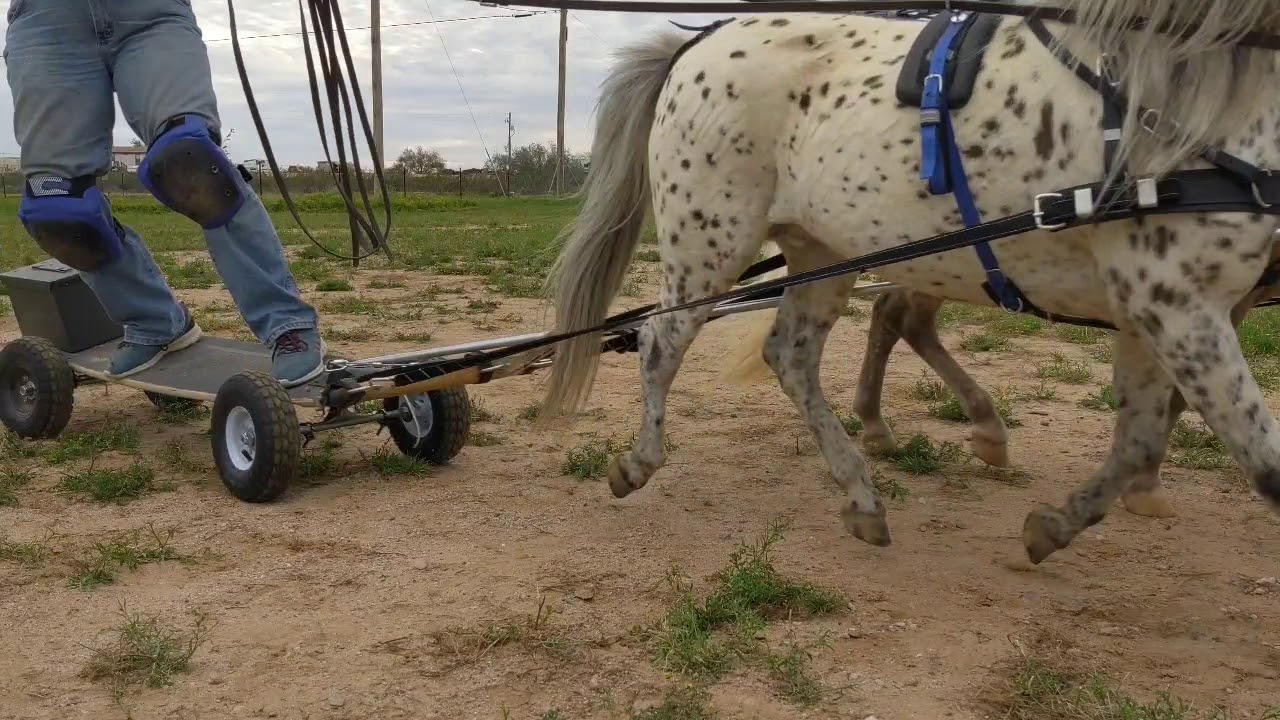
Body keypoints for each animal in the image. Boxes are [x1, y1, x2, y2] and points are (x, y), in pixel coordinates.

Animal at [536, 0, 1280, 564]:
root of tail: (697, 42)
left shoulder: (1156, 310)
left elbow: (1142, 438)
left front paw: (1057, 524)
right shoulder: (1178, 305)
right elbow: (1266, 465)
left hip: (822, 252)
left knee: (793, 355)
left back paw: (863, 493)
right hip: (710, 242)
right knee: (661, 341)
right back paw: (640, 461)